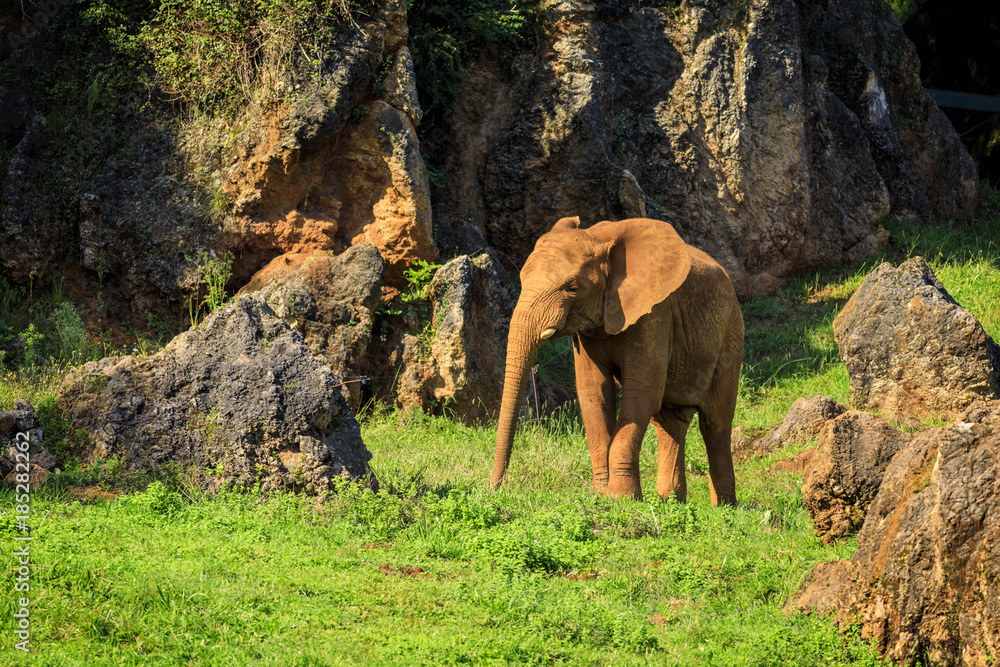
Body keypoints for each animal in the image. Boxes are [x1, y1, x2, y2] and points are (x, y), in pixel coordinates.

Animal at [490, 216, 744, 505]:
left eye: (573, 288)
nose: (494, 487)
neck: (599, 239)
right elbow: (594, 394)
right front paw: (600, 494)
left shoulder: (655, 314)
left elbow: (641, 394)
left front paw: (619, 498)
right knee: (669, 422)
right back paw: (669, 501)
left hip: (730, 333)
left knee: (715, 423)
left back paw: (723, 507)